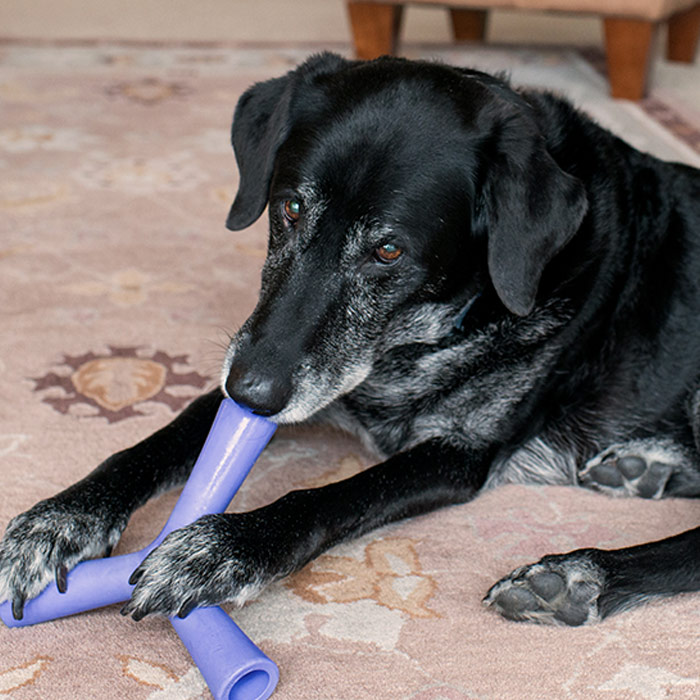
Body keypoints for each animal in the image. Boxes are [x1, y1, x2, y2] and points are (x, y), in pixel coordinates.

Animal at [1, 52, 700, 628]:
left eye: (388, 251)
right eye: (288, 208)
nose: (253, 394)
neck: (413, 343)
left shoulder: (456, 454)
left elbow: (332, 496)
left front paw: (223, 549)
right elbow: (150, 444)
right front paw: (58, 520)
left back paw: (581, 574)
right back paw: (644, 467)